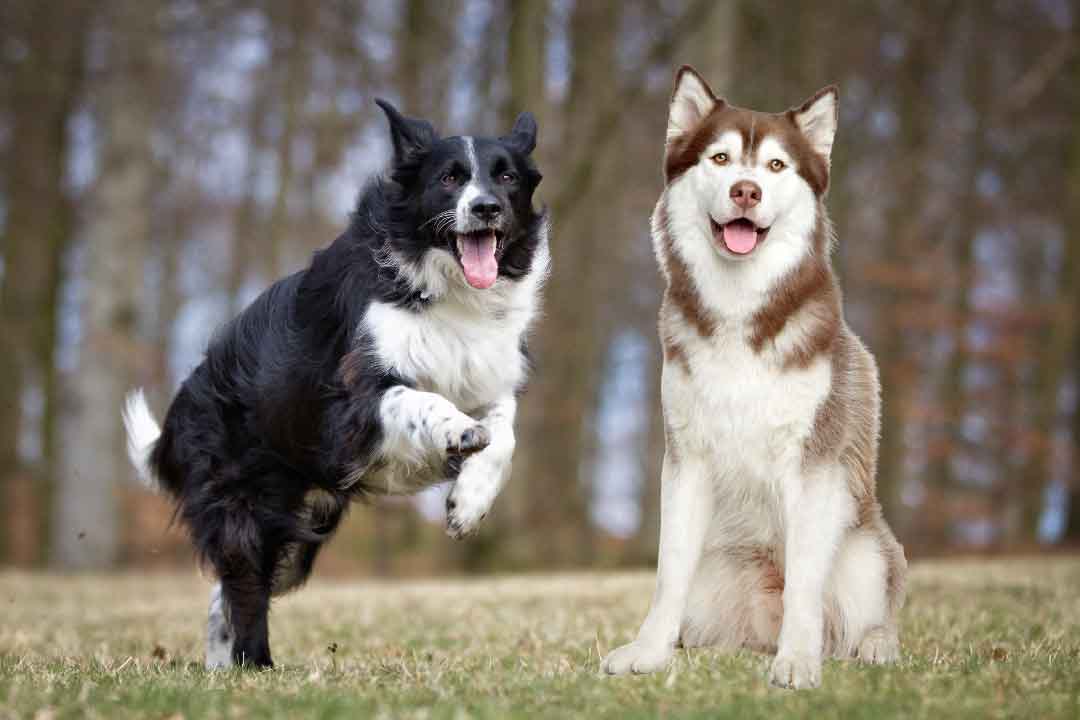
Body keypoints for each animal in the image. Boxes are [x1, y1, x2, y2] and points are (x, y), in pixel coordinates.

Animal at [122, 101, 548, 669]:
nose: (485, 208)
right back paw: (254, 666)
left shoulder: (489, 375)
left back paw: (221, 664)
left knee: (227, 594)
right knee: (244, 587)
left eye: (507, 177)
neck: (449, 289)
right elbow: (420, 398)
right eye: (449, 178)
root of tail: (180, 408)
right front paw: (458, 431)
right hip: (245, 505)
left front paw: (470, 501)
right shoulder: (353, 402)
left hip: (302, 528)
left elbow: (505, 432)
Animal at [604, 69, 907, 690]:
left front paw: (798, 662)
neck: (738, 312)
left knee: (866, 607)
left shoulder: (812, 463)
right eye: (720, 158)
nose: (747, 191)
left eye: (775, 166)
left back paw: (873, 645)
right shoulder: (686, 458)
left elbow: (807, 585)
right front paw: (648, 652)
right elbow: (668, 573)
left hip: (865, 547)